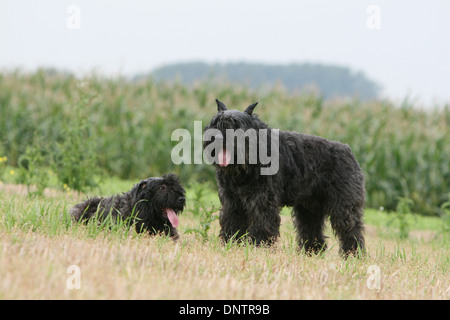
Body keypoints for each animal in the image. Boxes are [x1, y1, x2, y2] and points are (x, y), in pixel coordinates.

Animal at [204, 99, 366, 256]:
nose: (216, 137)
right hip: (309, 208)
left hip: (344, 206)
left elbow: (262, 221)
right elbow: (232, 221)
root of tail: (348, 151)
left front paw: (259, 246)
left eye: (236, 125)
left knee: (351, 229)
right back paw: (312, 252)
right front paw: (231, 242)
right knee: (311, 228)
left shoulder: (262, 199)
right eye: (214, 123)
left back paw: (353, 254)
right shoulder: (231, 200)